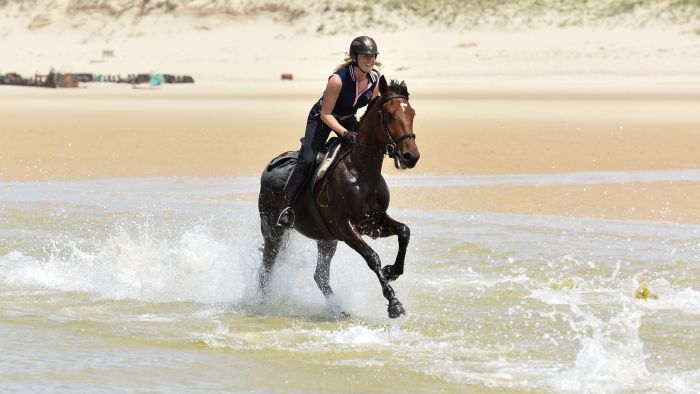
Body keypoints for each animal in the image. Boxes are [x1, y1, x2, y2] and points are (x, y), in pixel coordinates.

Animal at [258, 75, 418, 318]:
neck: (362, 172)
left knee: (320, 276)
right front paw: (394, 303)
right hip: (273, 231)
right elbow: (372, 257)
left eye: (412, 113)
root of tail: (270, 166)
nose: (411, 157)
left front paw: (393, 271)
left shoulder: (373, 223)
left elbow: (404, 231)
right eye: (390, 115)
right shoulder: (345, 227)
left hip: (326, 239)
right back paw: (260, 302)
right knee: (266, 270)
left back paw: (339, 309)